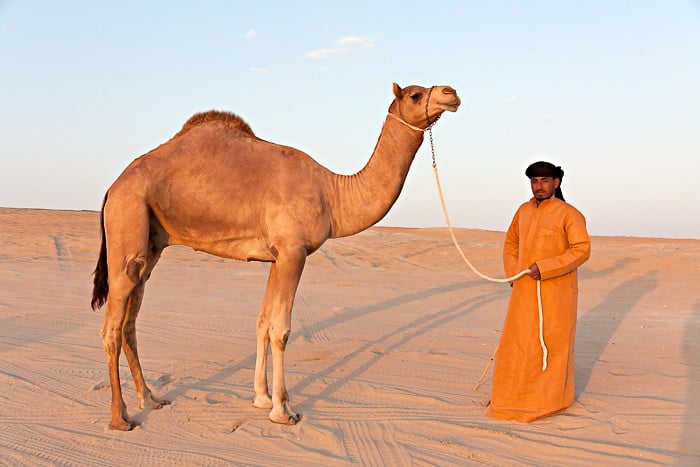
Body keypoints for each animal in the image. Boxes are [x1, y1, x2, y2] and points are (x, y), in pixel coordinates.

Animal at [91, 82, 460, 430]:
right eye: (415, 95)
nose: (451, 93)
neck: (332, 193)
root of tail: (112, 187)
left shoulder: (276, 257)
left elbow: (263, 322)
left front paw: (261, 397)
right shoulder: (294, 251)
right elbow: (281, 328)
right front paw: (283, 410)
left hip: (150, 246)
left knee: (130, 323)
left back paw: (150, 399)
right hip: (129, 220)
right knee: (111, 327)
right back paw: (120, 417)